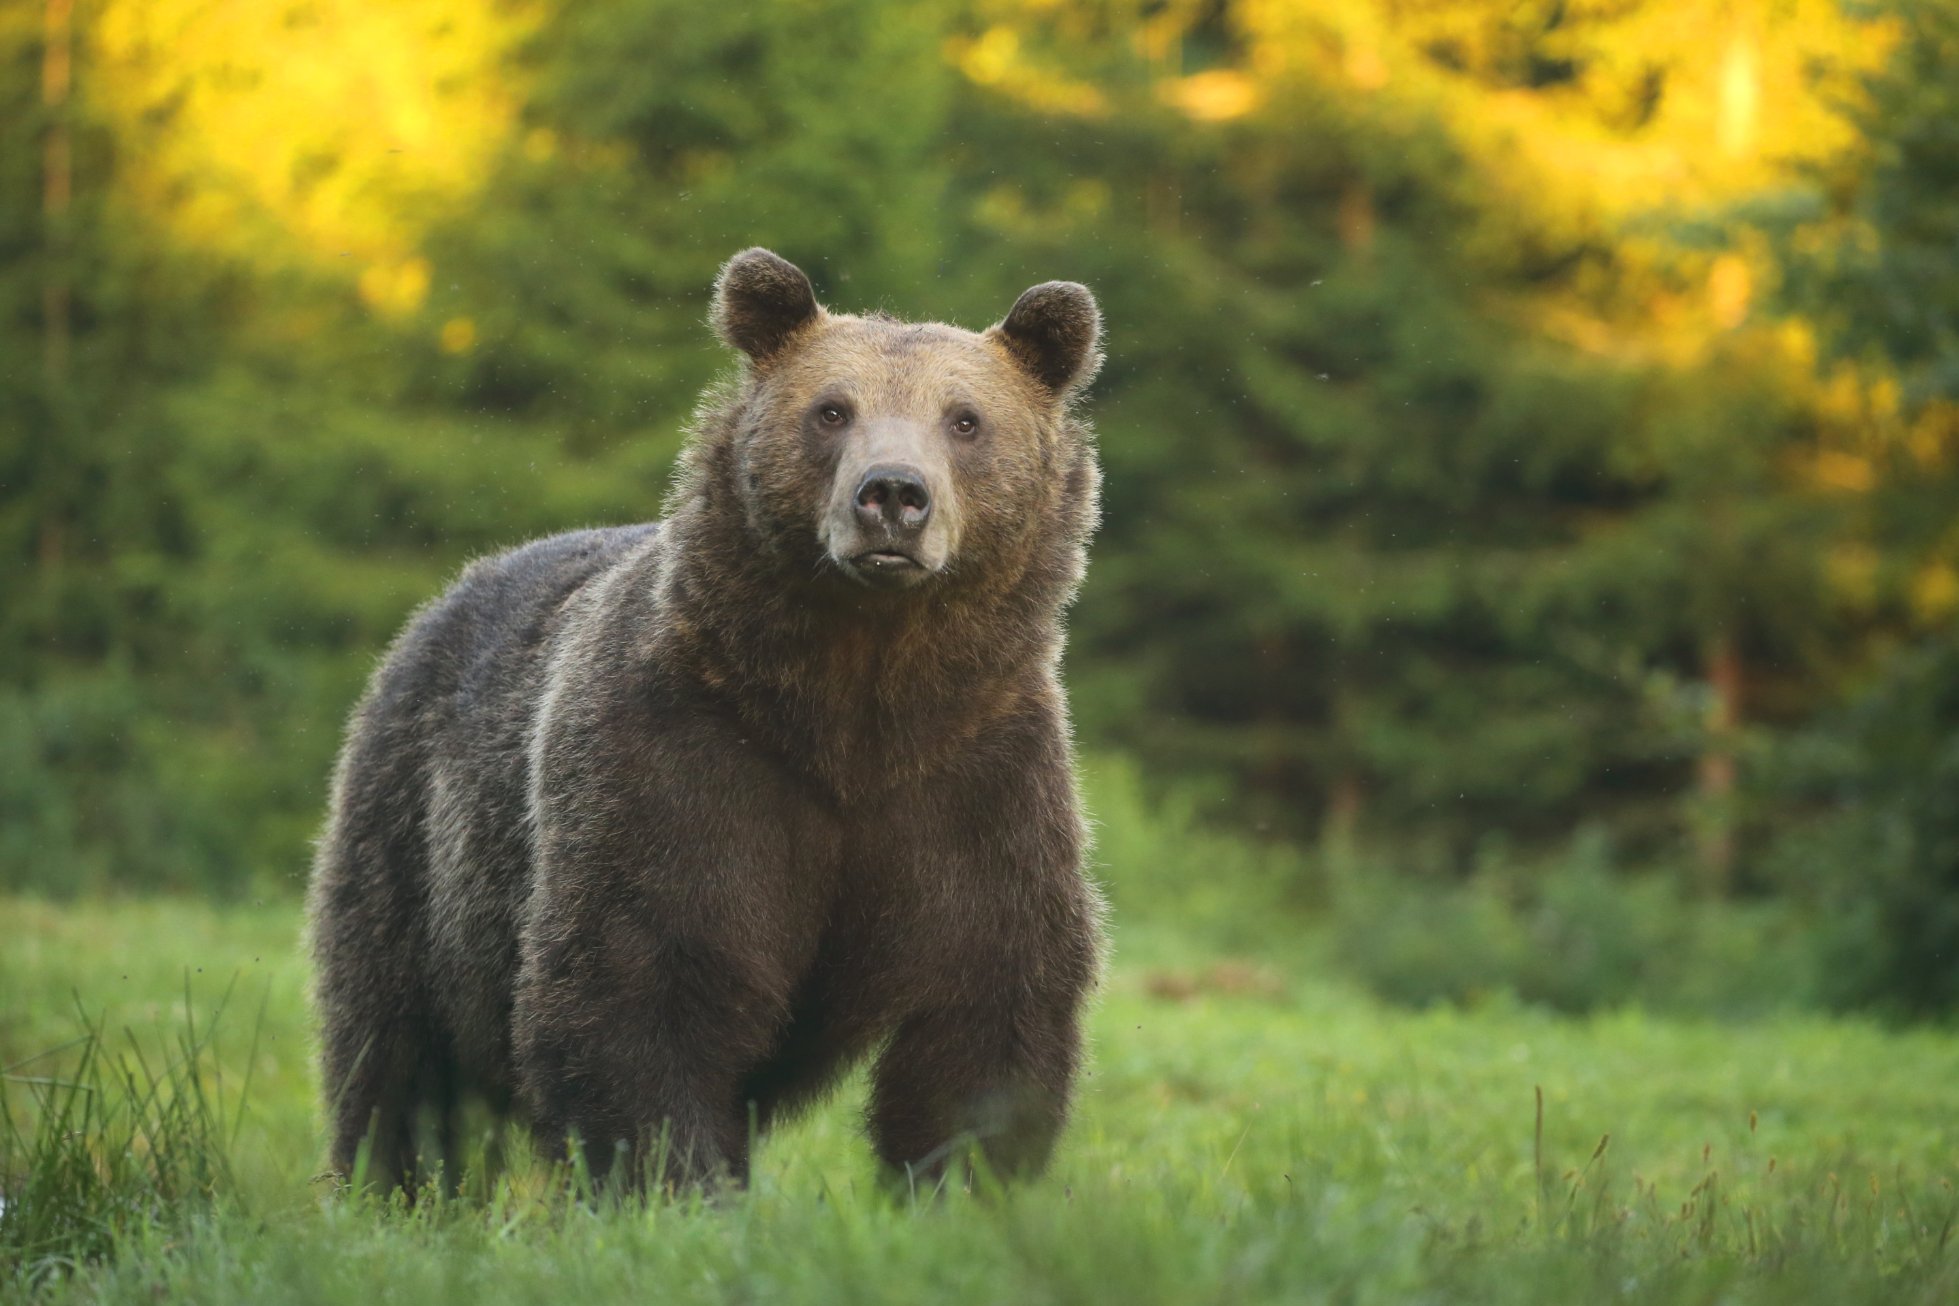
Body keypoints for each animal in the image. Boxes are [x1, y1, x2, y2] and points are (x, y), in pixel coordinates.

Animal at [301, 247, 1104, 1198]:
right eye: (831, 410)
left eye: (966, 419)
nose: (891, 496)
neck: (856, 706)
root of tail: (449, 596)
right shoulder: (684, 756)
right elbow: (644, 980)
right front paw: (670, 1185)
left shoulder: (977, 778)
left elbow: (984, 1007)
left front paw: (962, 1186)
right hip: (412, 839)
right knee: (399, 1052)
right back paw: (396, 1187)